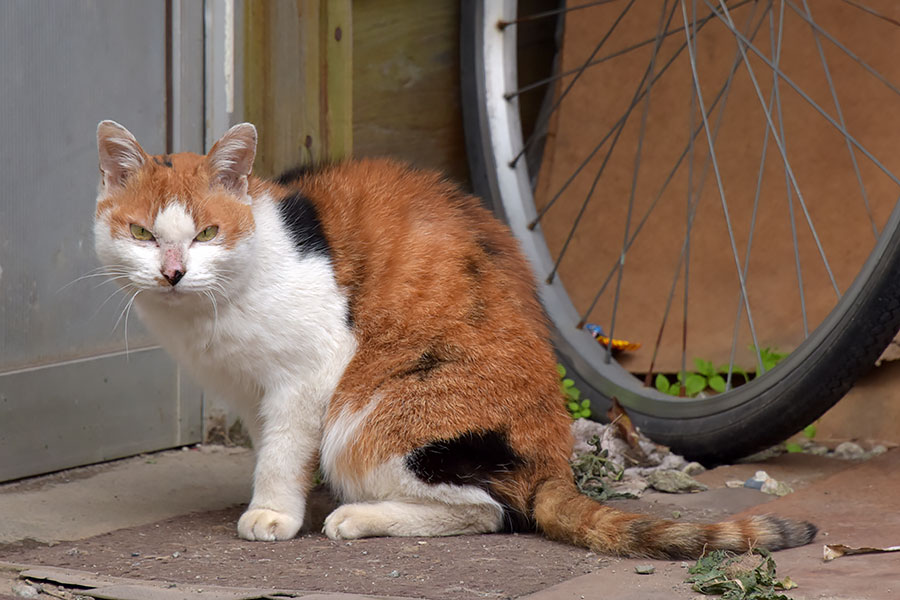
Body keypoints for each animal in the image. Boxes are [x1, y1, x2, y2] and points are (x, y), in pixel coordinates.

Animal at [93, 120, 816, 556]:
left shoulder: (311, 372)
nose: (173, 271)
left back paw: (358, 515)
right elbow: (271, 444)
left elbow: (282, 453)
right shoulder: (251, 392)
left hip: (368, 415)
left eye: (208, 233)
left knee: (492, 510)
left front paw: (273, 513)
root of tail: (553, 459)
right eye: (143, 233)